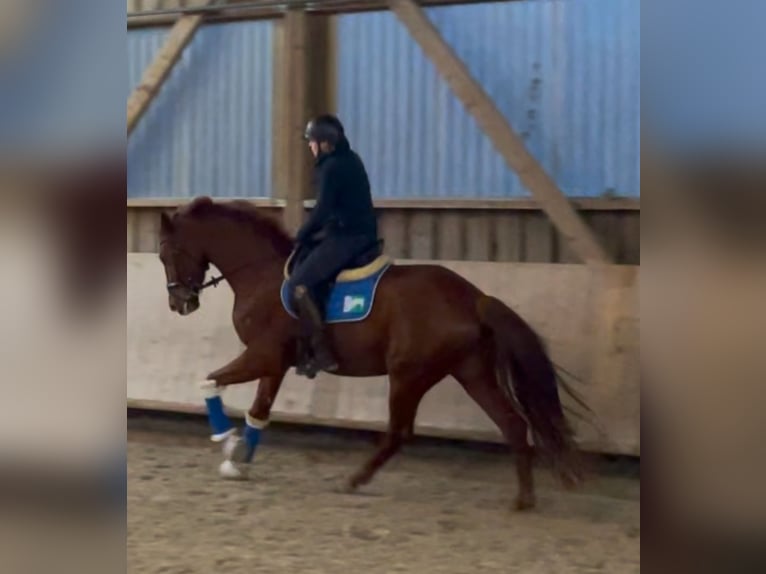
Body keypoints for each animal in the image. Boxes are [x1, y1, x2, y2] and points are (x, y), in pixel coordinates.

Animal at [159, 196, 584, 510]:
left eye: (167, 253)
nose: (180, 304)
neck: (261, 274)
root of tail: (474, 297)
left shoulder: (262, 357)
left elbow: (209, 382)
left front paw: (226, 444)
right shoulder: (275, 365)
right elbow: (258, 412)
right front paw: (240, 461)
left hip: (409, 375)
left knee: (399, 432)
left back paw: (354, 480)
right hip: (471, 372)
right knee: (512, 423)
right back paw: (524, 499)